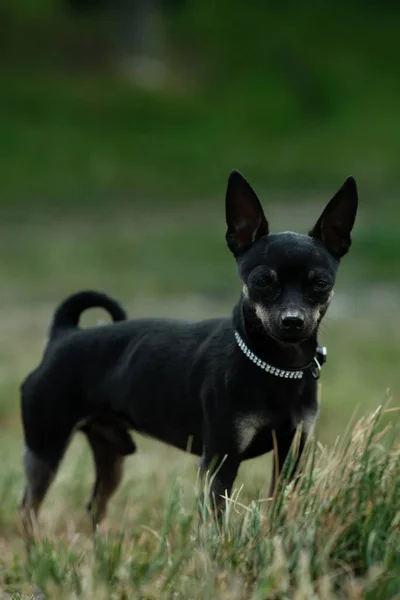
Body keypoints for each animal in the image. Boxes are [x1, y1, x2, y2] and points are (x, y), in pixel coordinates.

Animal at [19, 171, 356, 532]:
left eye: (320, 283)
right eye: (263, 281)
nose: (292, 321)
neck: (276, 367)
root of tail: (62, 336)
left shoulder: (291, 457)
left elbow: (278, 511)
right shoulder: (220, 462)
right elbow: (215, 523)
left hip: (110, 452)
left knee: (95, 505)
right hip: (45, 448)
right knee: (28, 509)